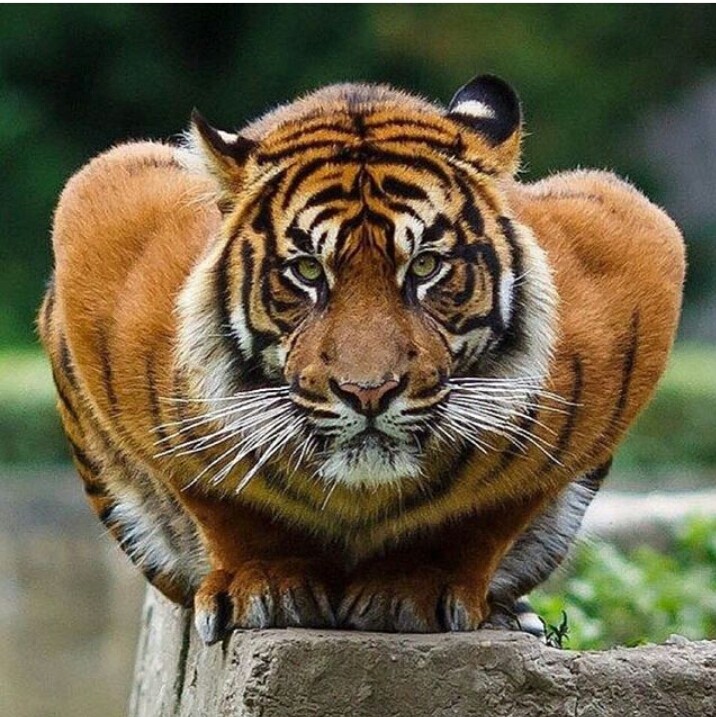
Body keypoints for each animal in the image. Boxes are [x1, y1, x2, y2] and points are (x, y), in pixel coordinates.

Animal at [38, 75, 685, 644]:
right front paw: (268, 583)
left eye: (425, 266)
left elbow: (489, 512)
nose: (368, 392)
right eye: (306, 271)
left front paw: (417, 588)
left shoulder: (636, 242)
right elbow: (220, 497)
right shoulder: (100, 207)